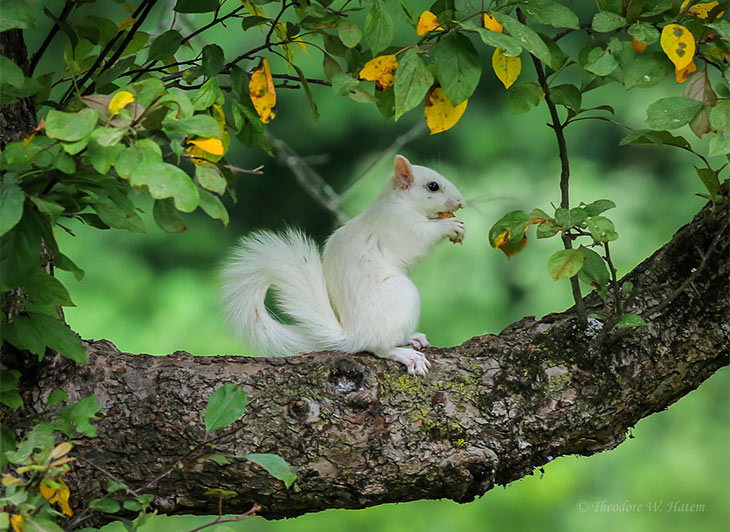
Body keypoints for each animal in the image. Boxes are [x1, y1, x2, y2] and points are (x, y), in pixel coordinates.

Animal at [219, 156, 464, 376]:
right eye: (433, 186)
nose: (461, 202)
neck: (398, 202)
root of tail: (354, 334)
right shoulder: (399, 226)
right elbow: (420, 239)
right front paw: (450, 226)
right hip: (403, 297)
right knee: (379, 347)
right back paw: (406, 355)